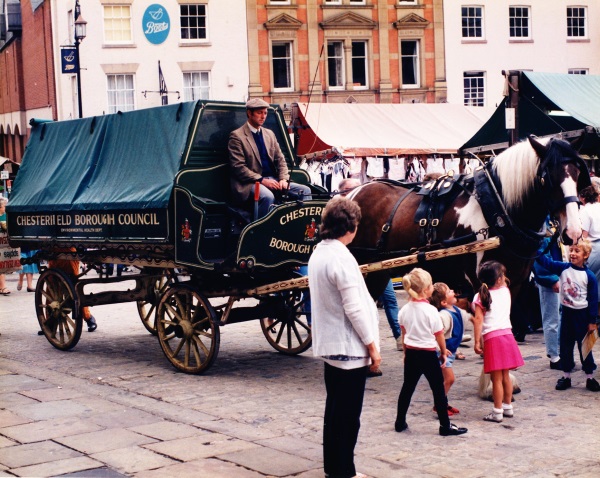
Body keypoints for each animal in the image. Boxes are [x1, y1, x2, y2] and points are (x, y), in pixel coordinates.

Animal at [350, 136, 588, 334]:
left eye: (577, 174)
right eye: (546, 178)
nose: (573, 231)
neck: (497, 206)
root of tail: (351, 194)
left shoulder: (515, 282)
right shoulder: (480, 282)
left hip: (379, 272)